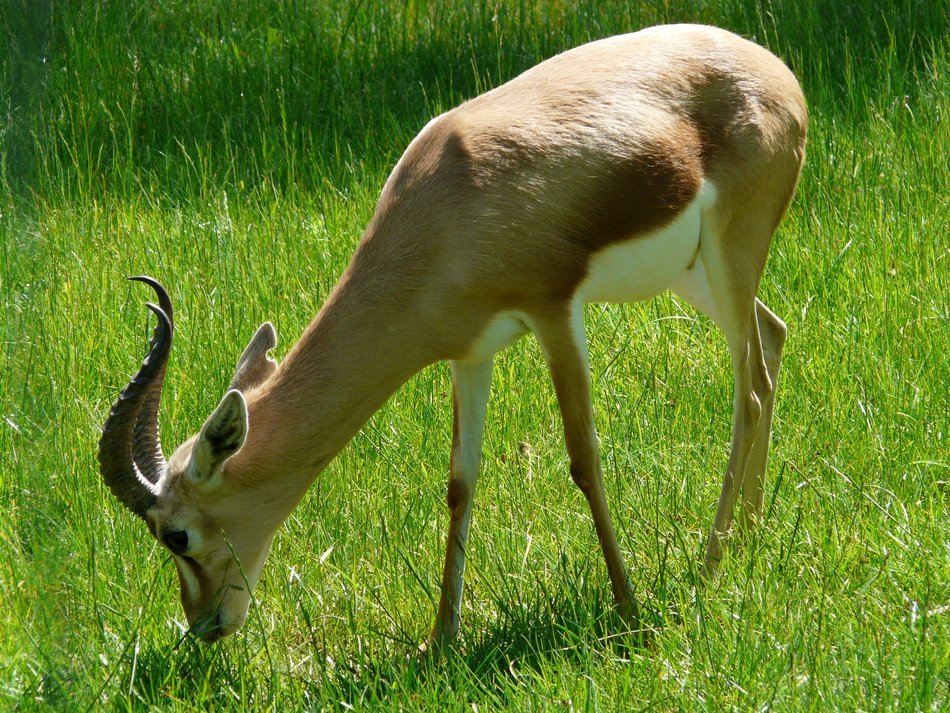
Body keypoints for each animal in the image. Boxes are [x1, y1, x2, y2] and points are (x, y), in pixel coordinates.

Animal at [99, 24, 806, 649]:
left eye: (175, 535)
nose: (204, 625)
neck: (444, 208)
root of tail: (779, 74)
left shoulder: (554, 312)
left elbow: (583, 459)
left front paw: (629, 611)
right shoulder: (472, 352)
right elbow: (460, 482)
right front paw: (441, 641)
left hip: (730, 252)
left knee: (749, 388)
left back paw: (711, 566)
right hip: (694, 273)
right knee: (772, 340)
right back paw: (747, 538)